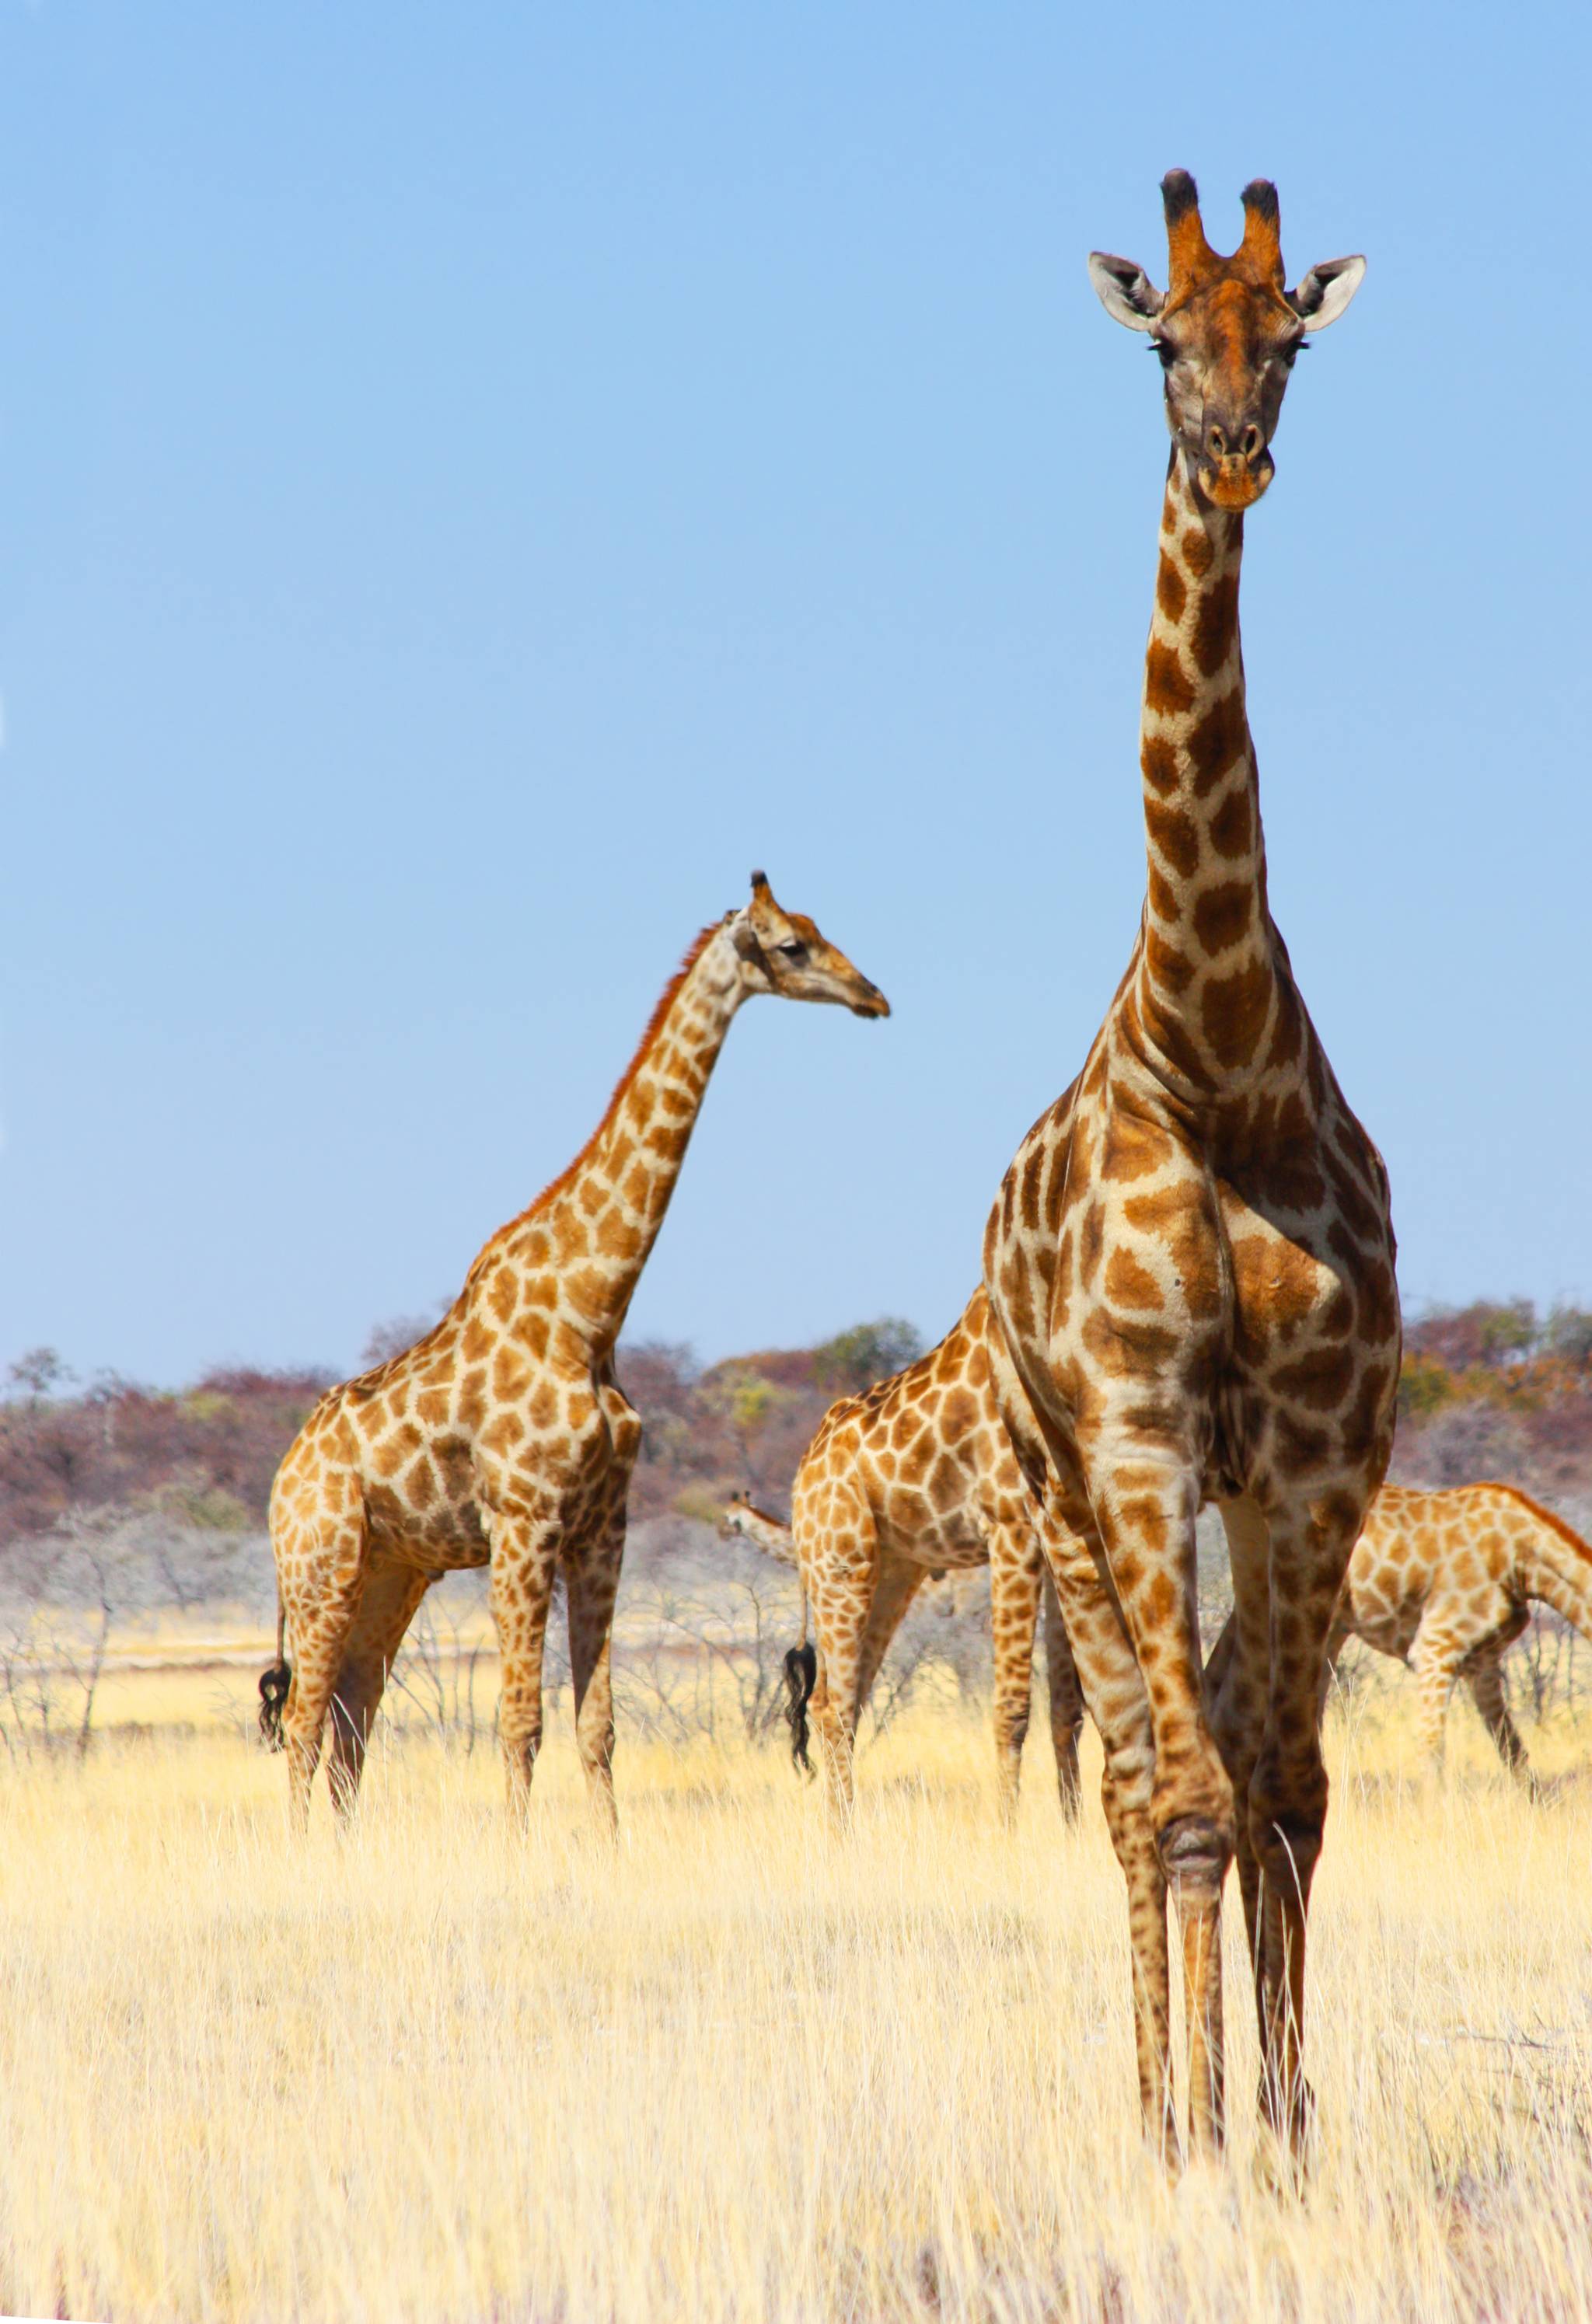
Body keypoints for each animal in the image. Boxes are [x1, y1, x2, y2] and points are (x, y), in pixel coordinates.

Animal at [257, 874, 883, 1831]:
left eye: (819, 929)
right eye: (790, 945)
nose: (873, 996)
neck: (591, 1314)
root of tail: (281, 1478)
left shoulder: (601, 1529)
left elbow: (598, 1727)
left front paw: (607, 1849)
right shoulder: (523, 1522)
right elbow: (520, 1720)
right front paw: (519, 1855)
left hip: (393, 1570)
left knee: (351, 1713)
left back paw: (340, 1849)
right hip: (319, 1561)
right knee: (300, 1719)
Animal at [762, 1301, 1088, 1822]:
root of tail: (802, 1475)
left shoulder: (1064, 1529)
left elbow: (1069, 1708)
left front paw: (1073, 1832)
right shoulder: (1012, 1526)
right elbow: (1013, 1707)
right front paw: (1008, 1832)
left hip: (888, 1575)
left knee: (839, 1701)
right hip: (839, 1567)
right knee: (834, 1707)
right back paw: (845, 1832)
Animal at [1208, 1478, 1590, 1785]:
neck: (1522, 1560)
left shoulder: (1482, 1663)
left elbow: (1513, 1751)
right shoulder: (1436, 1646)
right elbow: (1432, 1749)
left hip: (1319, 1625)